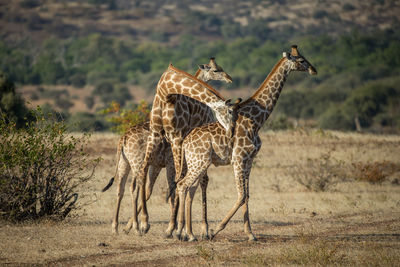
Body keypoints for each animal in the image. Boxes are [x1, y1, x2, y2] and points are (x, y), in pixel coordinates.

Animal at [102, 58, 234, 237]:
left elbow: (172, 185)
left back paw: (119, 226)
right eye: (215, 70)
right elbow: (181, 183)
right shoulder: (168, 143)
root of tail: (123, 138)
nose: (229, 78)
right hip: (137, 160)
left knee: (123, 187)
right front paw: (176, 227)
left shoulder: (170, 149)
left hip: (125, 162)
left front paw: (178, 227)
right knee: (137, 185)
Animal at [173, 45, 318, 242]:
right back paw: (183, 233)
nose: (314, 70)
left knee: (189, 188)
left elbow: (247, 196)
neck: (257, 120)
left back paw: (188, 233)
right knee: (183, 185)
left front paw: (250, 234)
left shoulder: (249, 160)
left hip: (197, 162)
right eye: (301, 60)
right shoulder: (239, 159)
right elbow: (241, 195)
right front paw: (215, 230)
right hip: (199, 162)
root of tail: (185, 142)